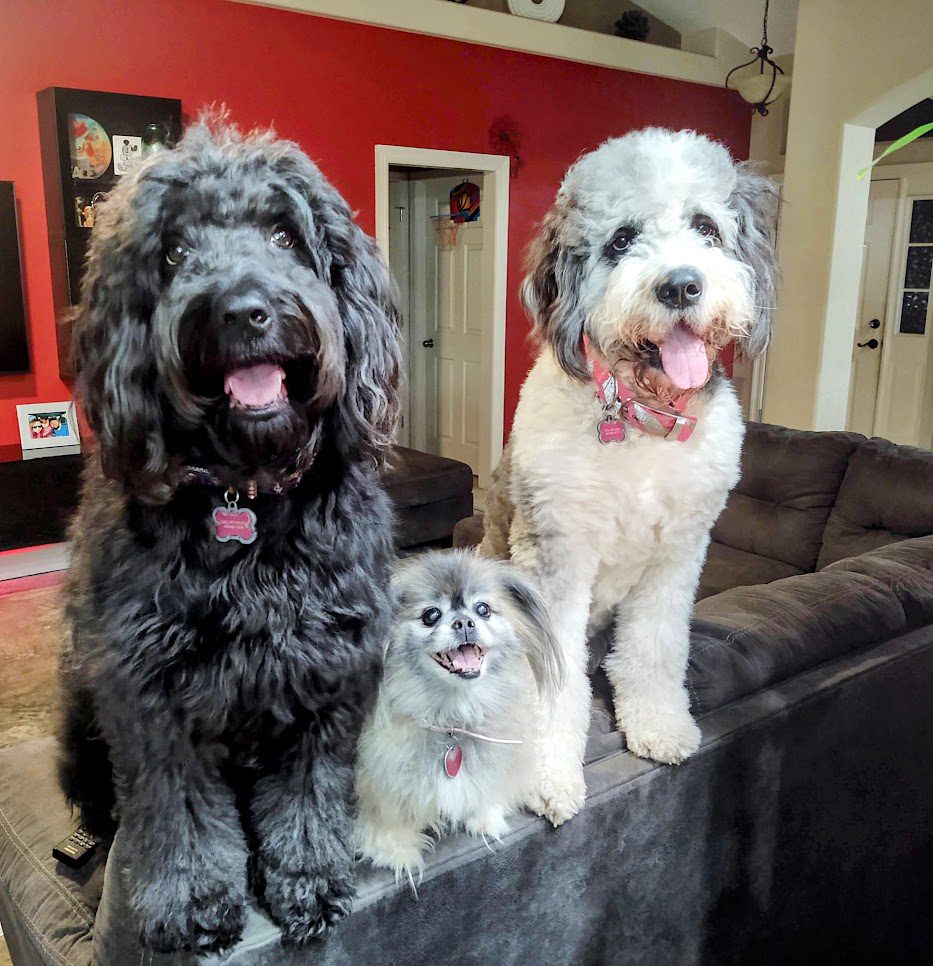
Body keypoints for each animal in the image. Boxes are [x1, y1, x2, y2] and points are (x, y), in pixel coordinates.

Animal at [58, 118, 401, 951]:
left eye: (284, 235)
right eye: (175, 252)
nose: (245, 310)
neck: (244, 492)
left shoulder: (328, 668)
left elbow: (308, 793)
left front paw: (307, 879)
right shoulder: (147, 688)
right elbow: (176, 809)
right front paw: (189, 901)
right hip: (79, 707)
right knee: (104, 807)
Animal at [355, 550, 563, 878]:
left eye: (483, 609)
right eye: (431, 615)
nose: (464, 621)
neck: (451, 715)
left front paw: (487, 818)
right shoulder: (378, 782)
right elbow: (386, 815)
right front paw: (397, 851)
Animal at [481, 128, 779, 826]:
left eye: (706, 227)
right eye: (620, 240)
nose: (681, 286)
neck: (641, 417)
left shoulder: (679, 556)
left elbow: (656, 648)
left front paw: (661, 727)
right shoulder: (557, 557)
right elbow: (554, 681)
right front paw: (547, 776)